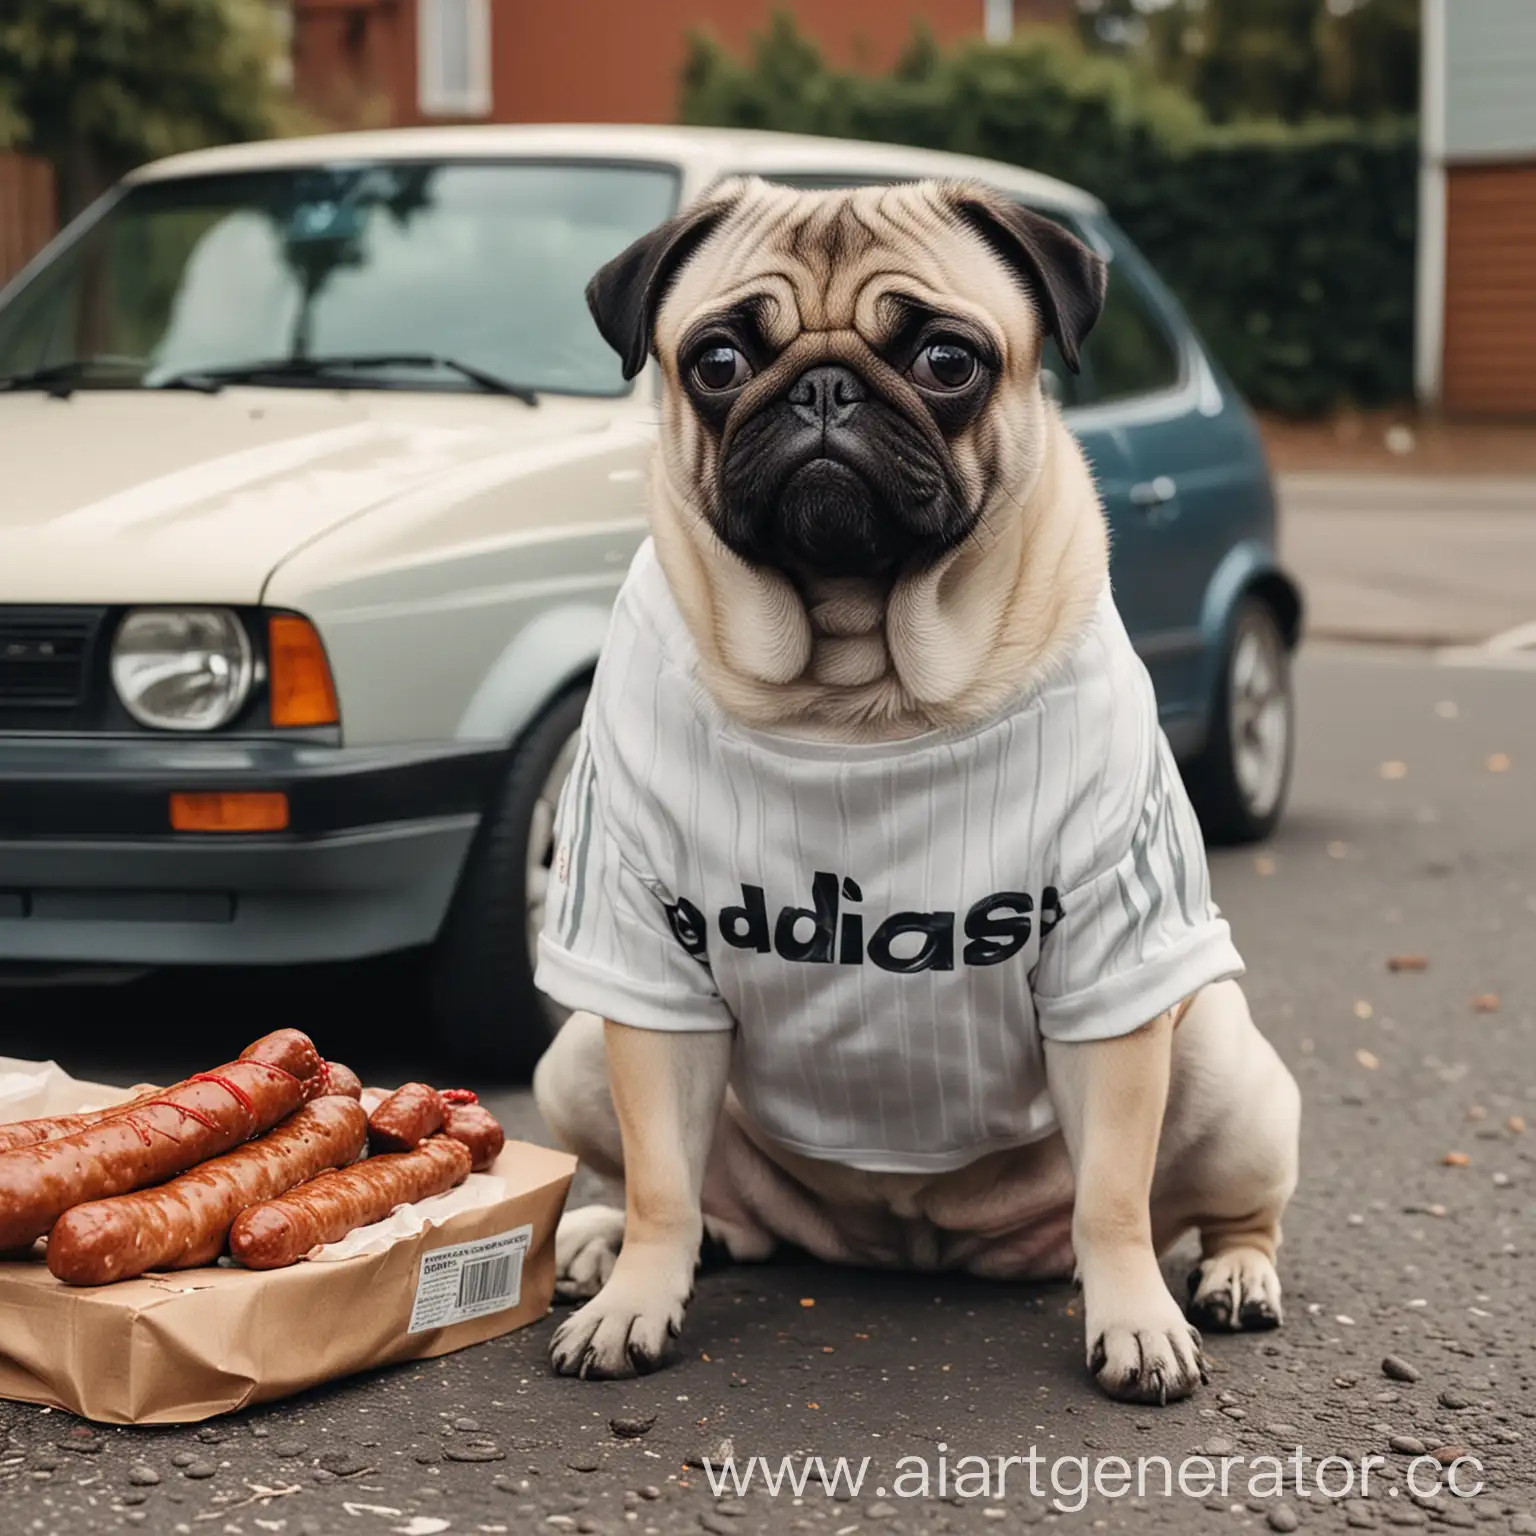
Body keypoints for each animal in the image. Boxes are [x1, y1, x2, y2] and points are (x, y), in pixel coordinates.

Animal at [528, 176, 1296, 1406]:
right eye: (717, 362)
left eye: (946, 360)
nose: (824, 385)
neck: (858, 687)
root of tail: (908, 1243)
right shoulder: (644, 972)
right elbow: (659, 1182)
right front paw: (635, 1299)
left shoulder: (1113, 965)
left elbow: (1115, 1201)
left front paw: (1136, 1322)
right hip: (576, 1061)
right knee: (699, 1201)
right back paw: (609, 1243)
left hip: (1222, 1069)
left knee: (1214, 1208)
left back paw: (1231, 1278)